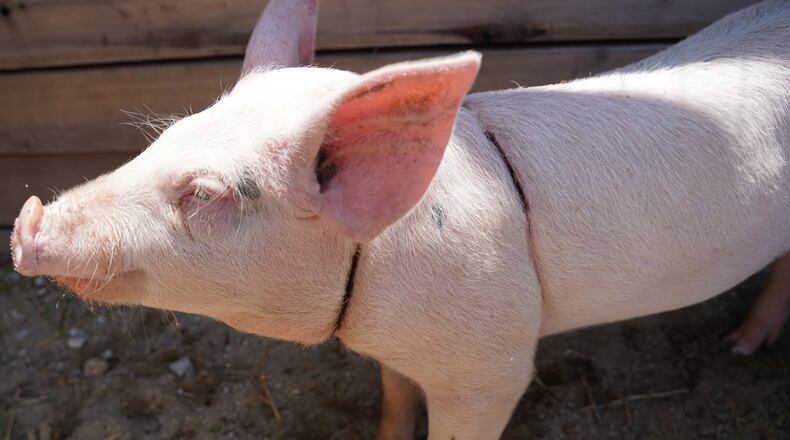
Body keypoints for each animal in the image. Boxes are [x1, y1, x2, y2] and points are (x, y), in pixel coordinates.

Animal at [10, 0, 790, 438]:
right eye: (163, 138)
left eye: (204, 194)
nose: (25, 222)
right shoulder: (399, 354)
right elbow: (392, 400)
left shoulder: (493, 365)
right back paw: (741, 347)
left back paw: (739, 350)